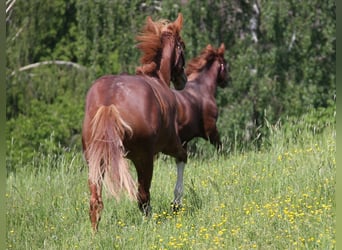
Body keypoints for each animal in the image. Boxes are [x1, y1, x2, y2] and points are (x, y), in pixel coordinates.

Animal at [81, 13, 187, 231]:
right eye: (183, 46)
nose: (183, 79)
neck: (157, 78)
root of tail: (109, 102)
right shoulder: (170, 144)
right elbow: (183, 156)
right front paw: (176, 203)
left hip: (95, 160)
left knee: (96, 200)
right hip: (143, 159)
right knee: (143, 196)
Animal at [172, 43, 231, 209]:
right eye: (225, 64)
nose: (228, 80)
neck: (202, 88)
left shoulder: (184, 141)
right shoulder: (211, 130)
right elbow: (221, 148)